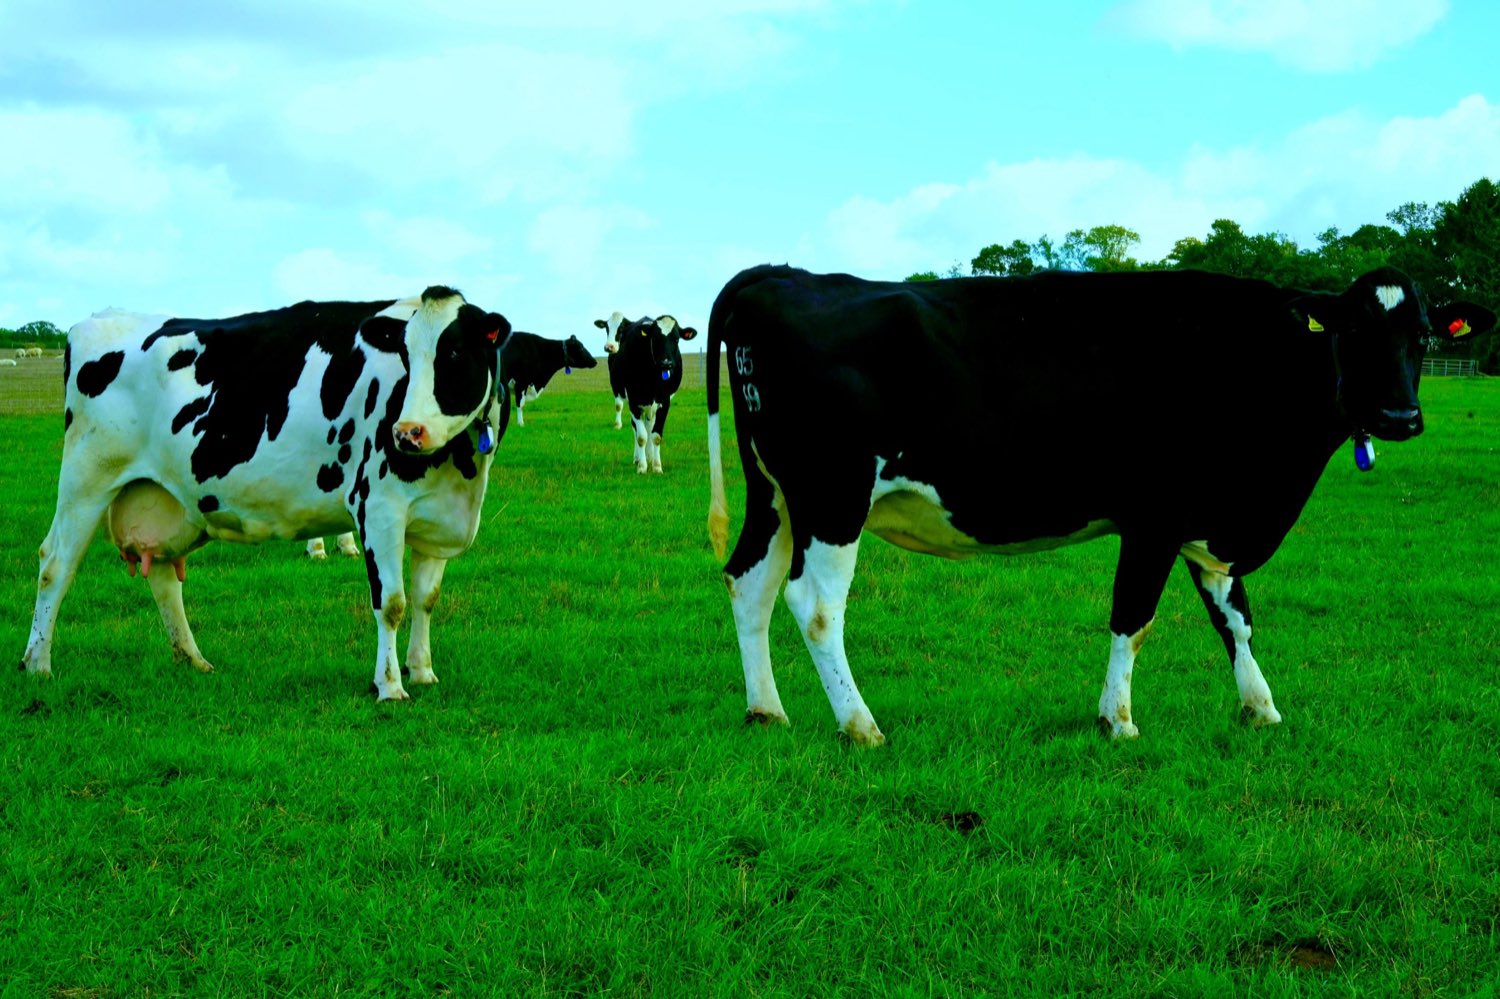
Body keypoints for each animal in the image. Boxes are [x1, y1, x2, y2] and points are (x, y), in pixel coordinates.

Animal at [23, 286, 514, 701]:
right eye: (406, 357)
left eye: (454, 352)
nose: (407, 432)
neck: (461, 473)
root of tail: (99, 318)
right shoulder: (378, 508)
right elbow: (391, 603)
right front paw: (390, 686)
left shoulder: (439, 517)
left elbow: (427, 599)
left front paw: (423, 671)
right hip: (87, 478)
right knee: (56, 564)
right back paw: (38, 664)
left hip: (165, 496)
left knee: (161, 576)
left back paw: (193, 659)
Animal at [595, 312, 698, 472]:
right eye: (655, 338)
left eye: (676, 339)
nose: (666, 363)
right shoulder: (632, 401)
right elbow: (641, 436)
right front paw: (642, 466)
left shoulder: (665, 402)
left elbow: (656, 435)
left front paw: (656, 466)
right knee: (637, 427)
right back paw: (639, 458)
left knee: (649, 426)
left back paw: (649, 456)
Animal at [705, 264, 1494, 745]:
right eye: (1353, 332)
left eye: (1423, 334)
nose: (1400, 416)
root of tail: (782, 274)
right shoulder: (1153, 518)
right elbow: (1134, 619)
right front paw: (1118, 719)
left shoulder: (1212, 524)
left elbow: (1236, 617)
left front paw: (1261, 707)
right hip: (833, 496)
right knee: (814, 606)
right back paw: (859, 724)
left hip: (775, 496)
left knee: (749, 583)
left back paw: (766, 709)